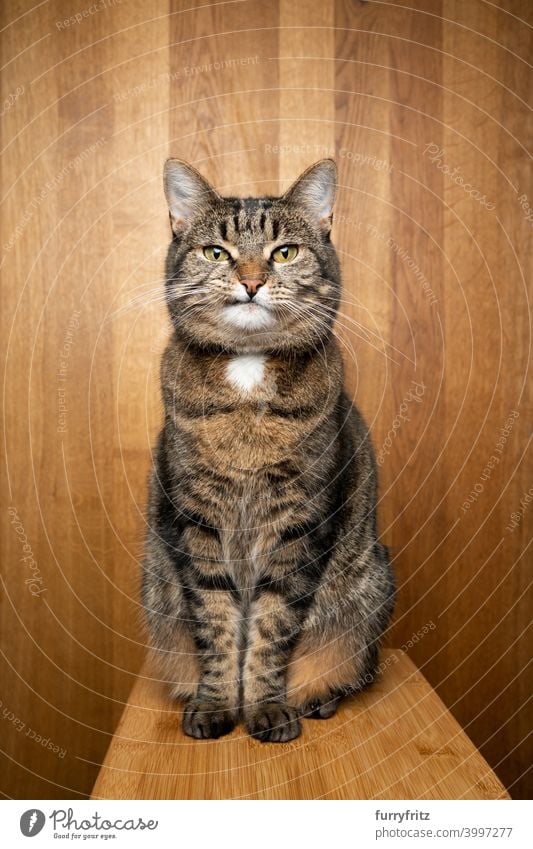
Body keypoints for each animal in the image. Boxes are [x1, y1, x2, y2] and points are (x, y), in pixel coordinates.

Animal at [142, 159, 394, 744]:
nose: (252, 280)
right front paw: (217, 703)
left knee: (352, 663)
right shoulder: (196, 519)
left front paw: (264, 706)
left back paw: (318, 698)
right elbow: (216, 621)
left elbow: (272, 627)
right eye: (217, 252)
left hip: (369, 583)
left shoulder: (299, 522)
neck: (249, 367)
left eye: (285, 252)